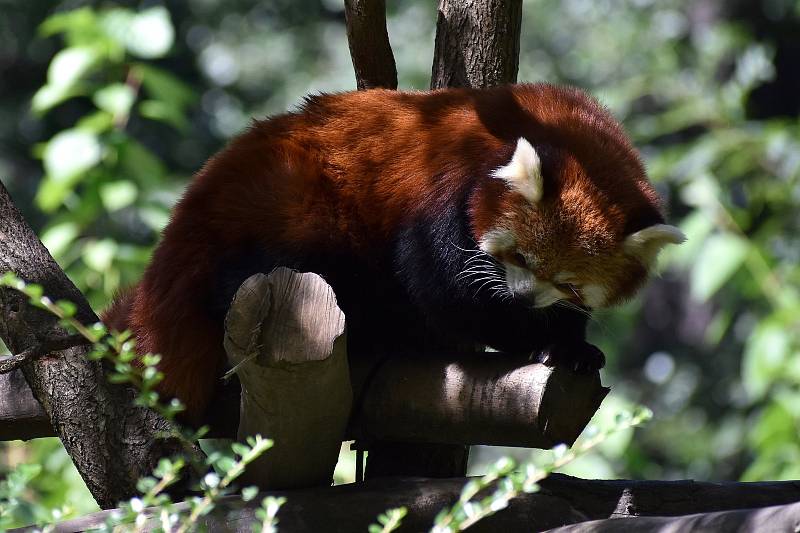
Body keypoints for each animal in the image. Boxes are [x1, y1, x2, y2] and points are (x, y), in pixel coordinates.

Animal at [103, 83, 684, 422]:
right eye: (519, 258)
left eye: (568, 283)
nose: (522, 299)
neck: (570, 133)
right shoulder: (441, 191)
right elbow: (442, 287)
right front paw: (536, 342)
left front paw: (572, 342)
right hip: (291, 207)